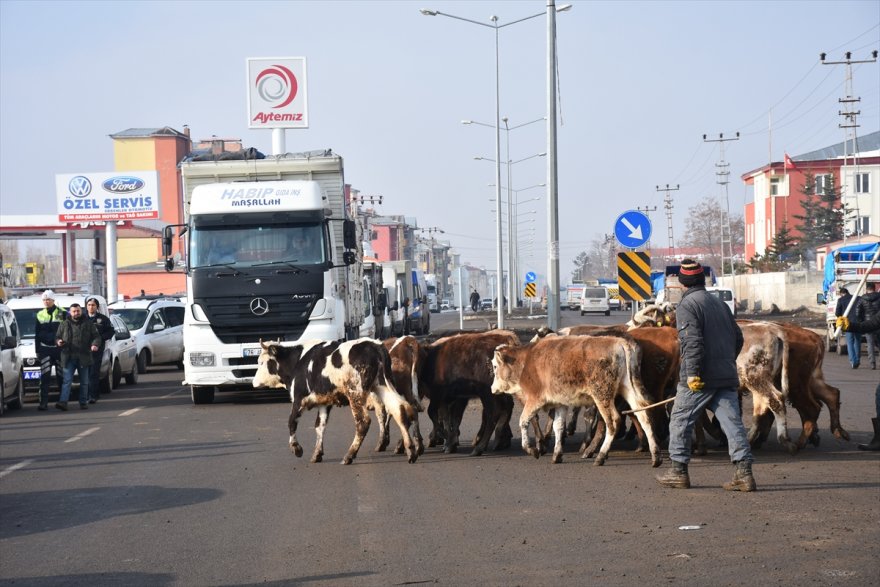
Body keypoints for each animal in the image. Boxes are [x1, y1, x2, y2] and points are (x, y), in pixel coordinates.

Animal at [254, 338, 420, 466]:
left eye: (261, 362)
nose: (254, 382)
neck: (298, 361)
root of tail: (374, 345)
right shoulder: (324, 403)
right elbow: (319, 427)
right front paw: (317, 453)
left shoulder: (299, 399)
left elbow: (291, 421)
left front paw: (296, 448)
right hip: (382, 386)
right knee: (399, 410)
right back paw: (411, 450)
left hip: (355, 394)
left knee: (363, 422)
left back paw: (349, 455)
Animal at [488, 338, 660, 466]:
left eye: (495, 366)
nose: (492, 388)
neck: (526, 361)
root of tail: (620, 343)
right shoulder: (560, 403)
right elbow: (558, 427)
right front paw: (557, 454)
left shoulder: (535, 399)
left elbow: (523, 421)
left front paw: (531, 449)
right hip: (627, 388)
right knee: (644, 416)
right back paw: (655, 455)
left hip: (601, 394)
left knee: (613, 421)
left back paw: (601, 455)